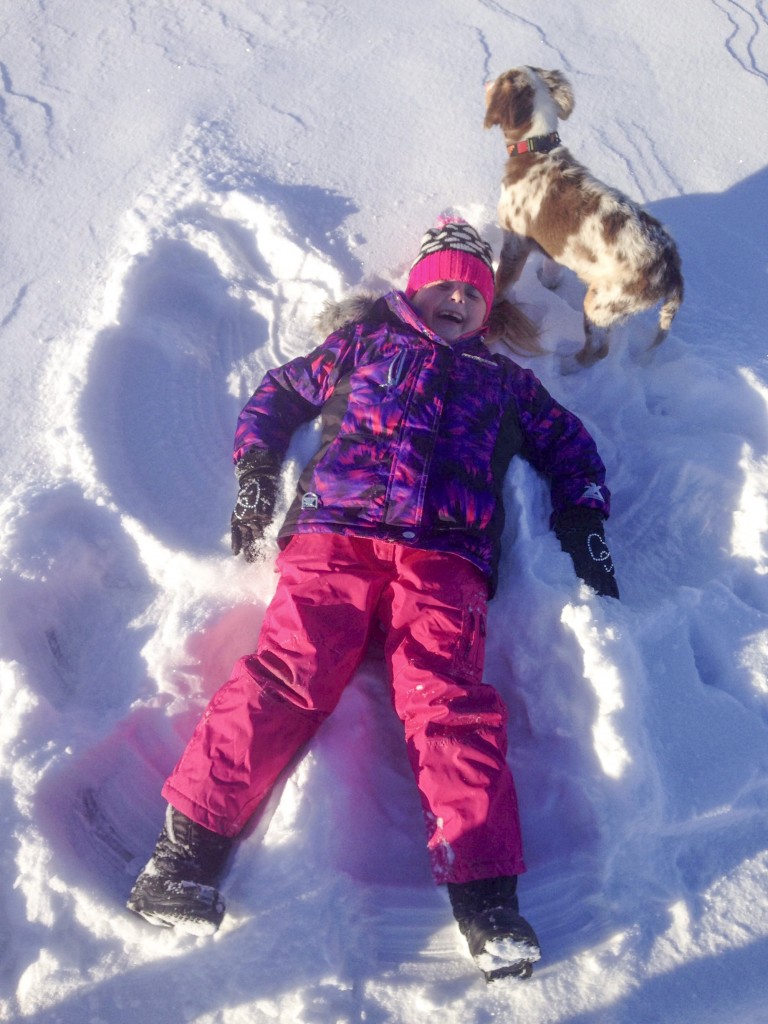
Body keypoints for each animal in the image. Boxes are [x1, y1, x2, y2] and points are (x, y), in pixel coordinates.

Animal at [487, 66, 684, 366]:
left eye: (499, 79)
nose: (485, 81)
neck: (537, 149)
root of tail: (672, 269)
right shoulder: (554, 251)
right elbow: (551, 272)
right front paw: (548, 285)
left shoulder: (514, 243)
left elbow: (502, 284)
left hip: (601, 304)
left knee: (597, 350)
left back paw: (566, 364)